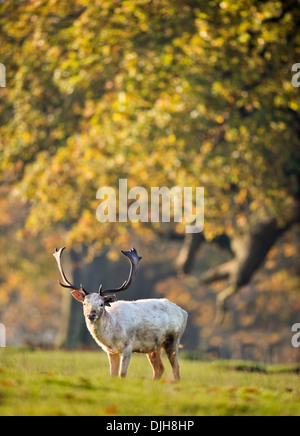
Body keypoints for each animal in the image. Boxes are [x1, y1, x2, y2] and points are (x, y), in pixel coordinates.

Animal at [53, 247, 188, 380]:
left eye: (101, 304)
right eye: (85, 303)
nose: (91, 315)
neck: (112, 337)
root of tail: (183, 312)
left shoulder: (128, 347)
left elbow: (122, 374)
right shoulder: (111, 351)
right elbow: (112, 374)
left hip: (173, 339)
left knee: (176, 368)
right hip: (154, 347)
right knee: (159, 369)